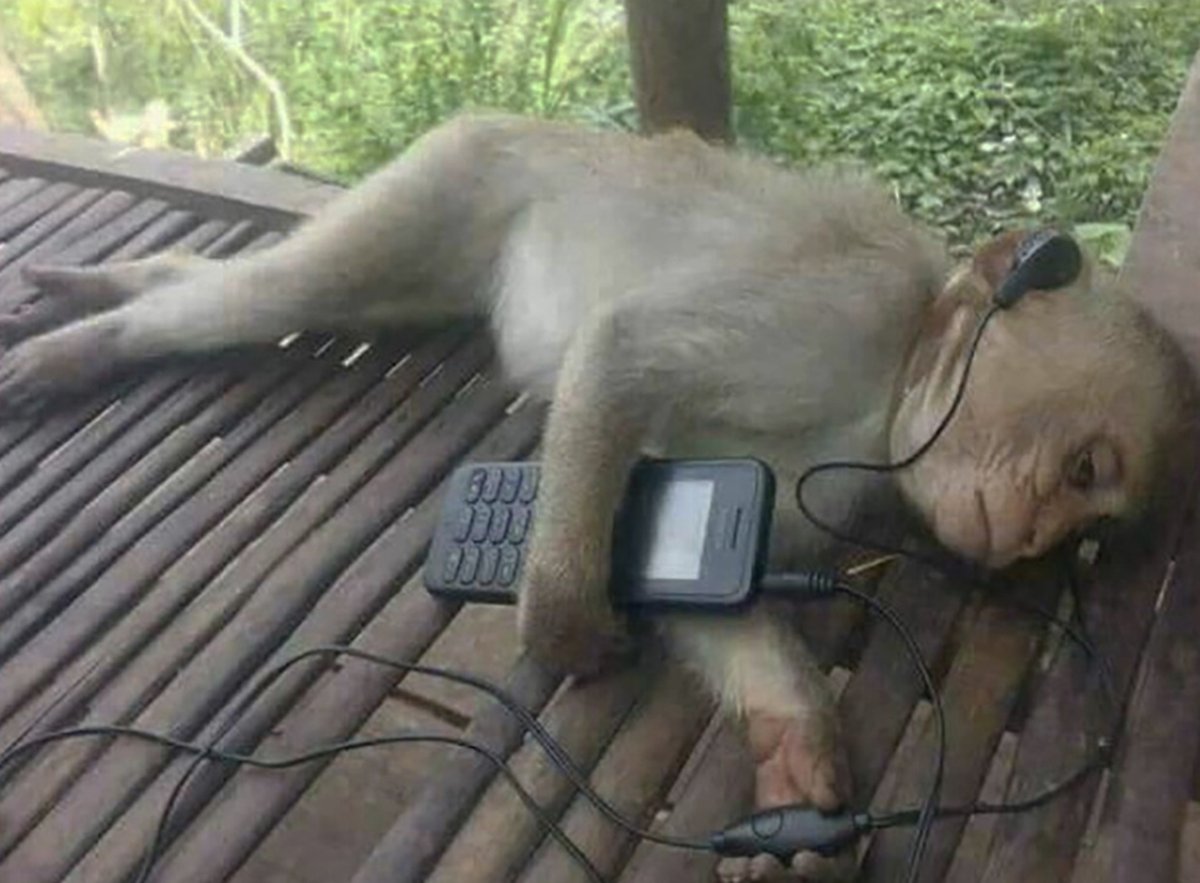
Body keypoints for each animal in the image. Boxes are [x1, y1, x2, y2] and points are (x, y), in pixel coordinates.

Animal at [0, 114, 1191, 882]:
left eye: (1088, 525)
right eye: (1084, 471)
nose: (1034, 536)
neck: (899, 372)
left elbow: (698, 560)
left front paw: (794, 754)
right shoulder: (838, 313)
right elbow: (625, 352)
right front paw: (568, 617)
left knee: (324, 295)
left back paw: (125, 282)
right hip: (459, 173)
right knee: (285, 290)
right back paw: (94, 338)